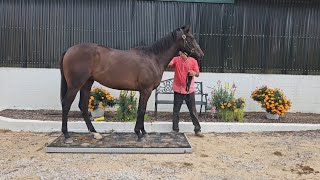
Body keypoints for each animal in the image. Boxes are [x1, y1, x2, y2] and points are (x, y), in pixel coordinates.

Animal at [59, 25, 204, 143]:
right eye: (191, 37)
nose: (201, 54)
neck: (153, 58)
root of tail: (69, 50)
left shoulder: (145, 91)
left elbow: (142, 110)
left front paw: (143, 132)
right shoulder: (146, 90)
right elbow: (141, 110)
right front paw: (139, 134)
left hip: (87, 83)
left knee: (83, 106)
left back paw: (95, 133)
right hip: (75, 85)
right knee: (66, 104)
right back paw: (67, 135)